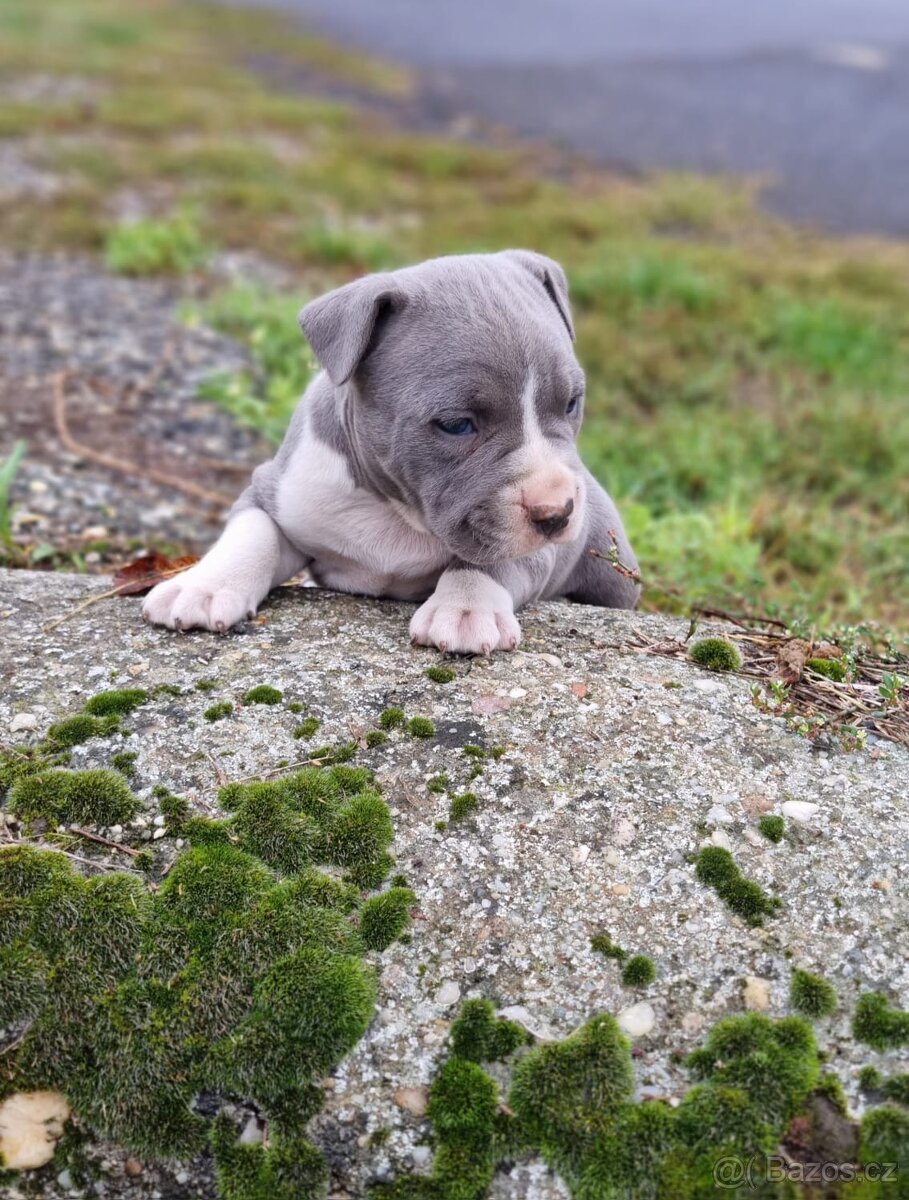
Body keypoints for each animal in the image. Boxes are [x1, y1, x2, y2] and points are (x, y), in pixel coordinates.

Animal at [142, 248, 642, 652]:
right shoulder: (274, 487)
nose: (558, 511)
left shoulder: (536, 549)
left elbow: (491, 561)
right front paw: (203, 586)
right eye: (457, 425)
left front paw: (466, 608)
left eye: (572, 403)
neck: (397, 510)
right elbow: (253, 531)